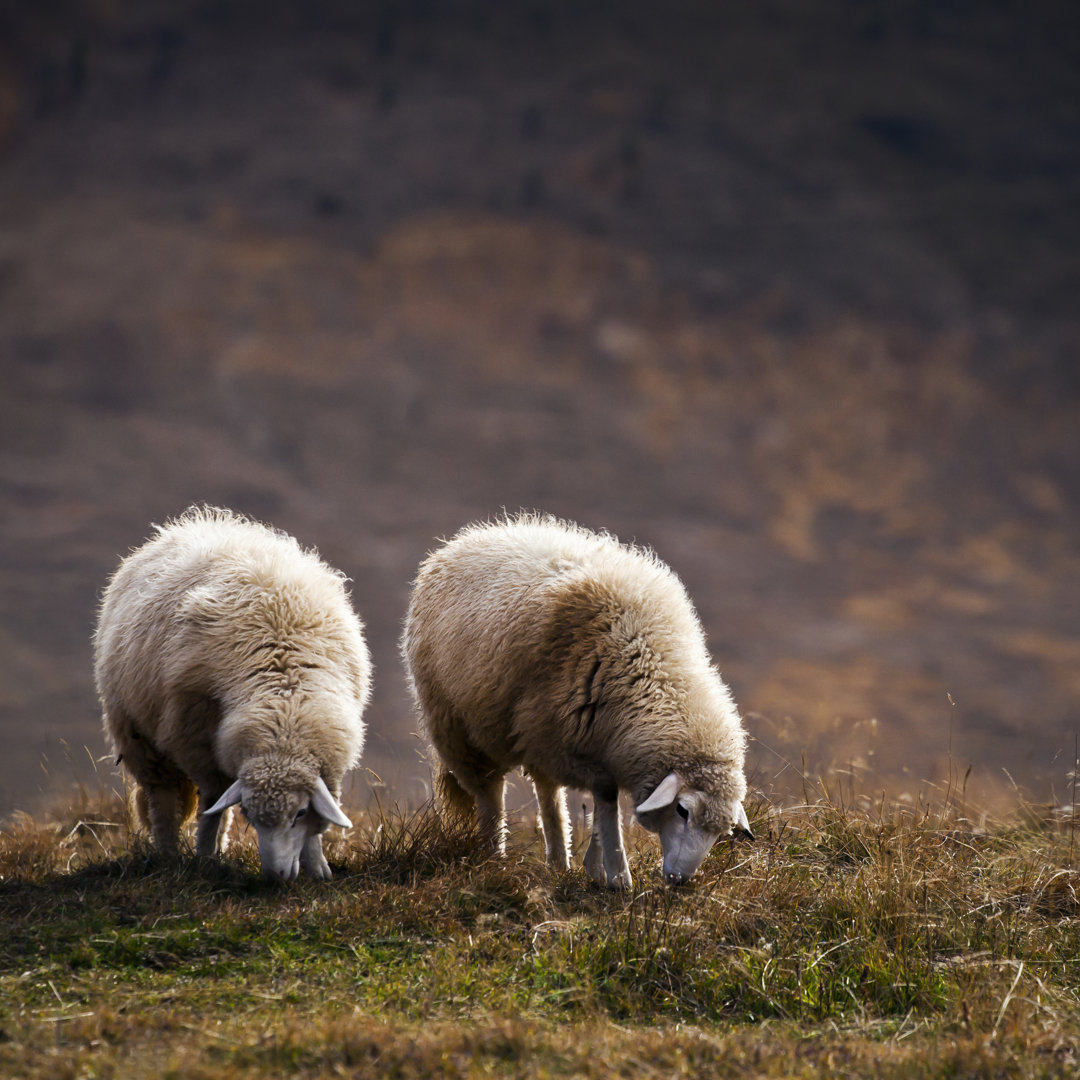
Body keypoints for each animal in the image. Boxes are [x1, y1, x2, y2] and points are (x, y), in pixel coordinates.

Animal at [93, 503, 371, 876]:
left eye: (298, 813)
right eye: (251, 816)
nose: (276, 876)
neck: (285, 701)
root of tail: (192, 525)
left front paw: (316, 867)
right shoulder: (195, 741)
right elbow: (211, 805)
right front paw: (203, 857)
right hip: (138, 736)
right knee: (164, 799)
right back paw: (169, 855)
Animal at [403, 511, 751, 885]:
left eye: (719, 831)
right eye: (682, 810)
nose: (679, 880)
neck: (647, 663)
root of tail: (464, 540)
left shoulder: (593, 740)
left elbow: (600, 799)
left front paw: (596, 865)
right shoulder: (572, 744)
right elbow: (606, 796)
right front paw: (618, 874)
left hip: (532, 734)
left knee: (548, 796)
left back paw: (558, 861)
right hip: (462, 728)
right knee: (489, 795)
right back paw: (495, 856)